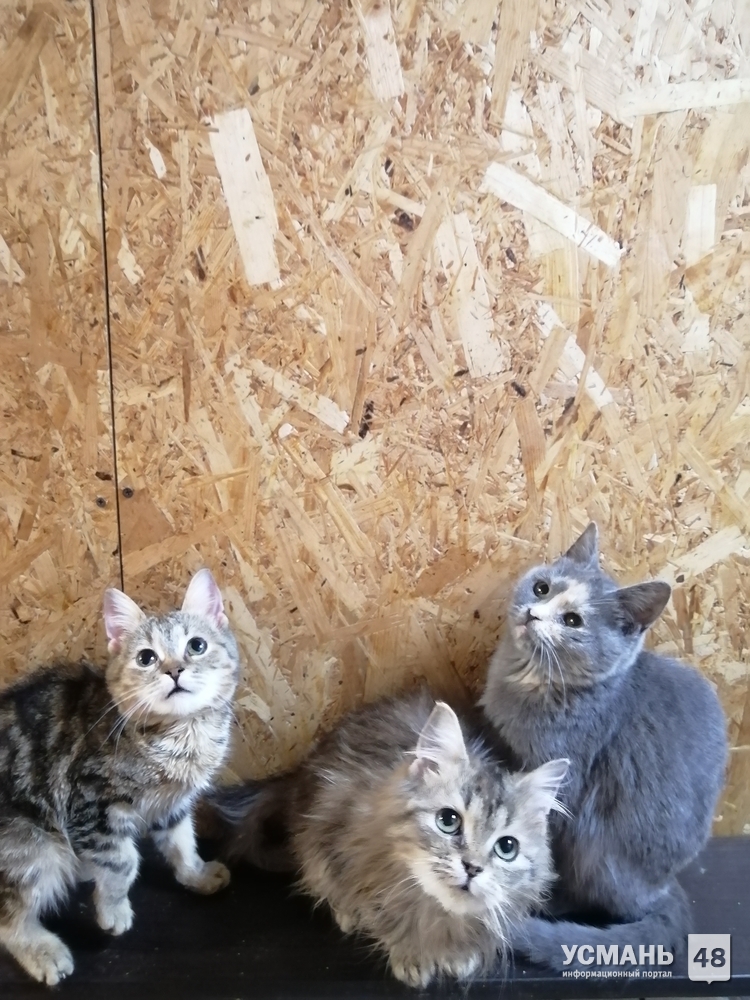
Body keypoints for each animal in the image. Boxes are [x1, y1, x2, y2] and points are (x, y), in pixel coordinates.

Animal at [0, 568, 240, 985]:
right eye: (146, 658)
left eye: (196, 646)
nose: (174, 670)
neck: (179, 736)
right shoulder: (92, 806)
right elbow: (122, 861)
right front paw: (113, 909)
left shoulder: (172, 804)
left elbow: (182, 843)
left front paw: (195, 874)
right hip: (29, 845)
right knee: (9, 918)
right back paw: (44, 951)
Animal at [213, 691, 569, 987]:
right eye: (448, 821)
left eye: (507, 848)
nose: (472, 868)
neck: (433, 909)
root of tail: (301, 771)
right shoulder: (345, 849)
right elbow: (382, 915)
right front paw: (411, 955)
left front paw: (458, 955)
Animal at [480, 522, 728, 971]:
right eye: (541, 588)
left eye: (573, 620)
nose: (532, 613)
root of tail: (663, 888)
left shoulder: (564, 784)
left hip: (596, 842)